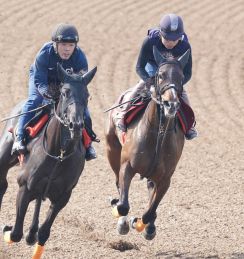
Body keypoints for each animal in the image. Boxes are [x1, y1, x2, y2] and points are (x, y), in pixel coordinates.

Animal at [0, 63, 96, 259]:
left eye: (87, 95)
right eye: (65, 92)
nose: (76, 125)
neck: (59, 153)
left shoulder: (63, 196)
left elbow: (43, 233)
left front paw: (33, 235)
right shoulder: (25, 187)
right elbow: (15, 233)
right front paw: (6, 228)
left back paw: (31, 232)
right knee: (2, 183)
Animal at [104, 46, 190, 240]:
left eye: (181, 77)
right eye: (160, 75)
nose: (171, 104)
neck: (157, 134)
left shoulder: (165, 179)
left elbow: (150, 212)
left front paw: (142, 225)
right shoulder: (127, 166)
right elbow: (123, 205)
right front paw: (123, 219)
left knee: (150, 191)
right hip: (112, 149)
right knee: (118, 185)